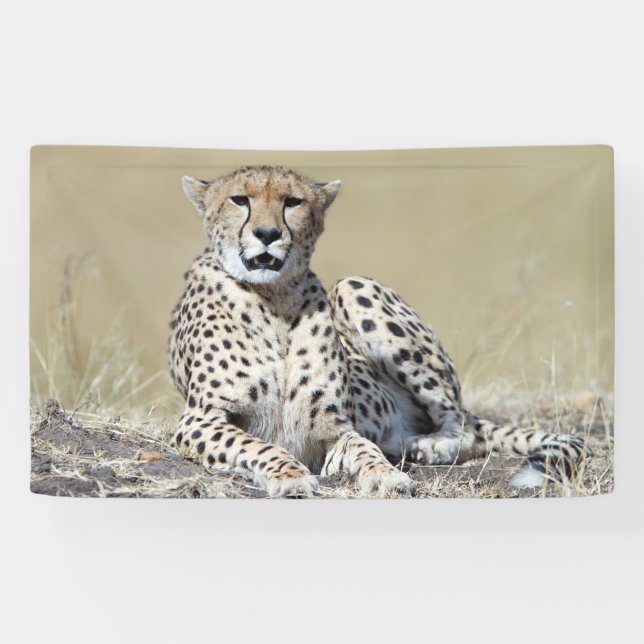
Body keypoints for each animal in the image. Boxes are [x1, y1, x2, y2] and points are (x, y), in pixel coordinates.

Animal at [168, 165, 587, 497]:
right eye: (240, 200)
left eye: (293, 202)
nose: (267, 233)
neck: (274, 299)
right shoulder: (198, 419)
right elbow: (256, 446)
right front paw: (289, 475)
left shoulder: (336, 431)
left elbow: (363, 447)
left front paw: (384, 475)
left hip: (353, 286)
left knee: (465, 427)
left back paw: (430, 446)